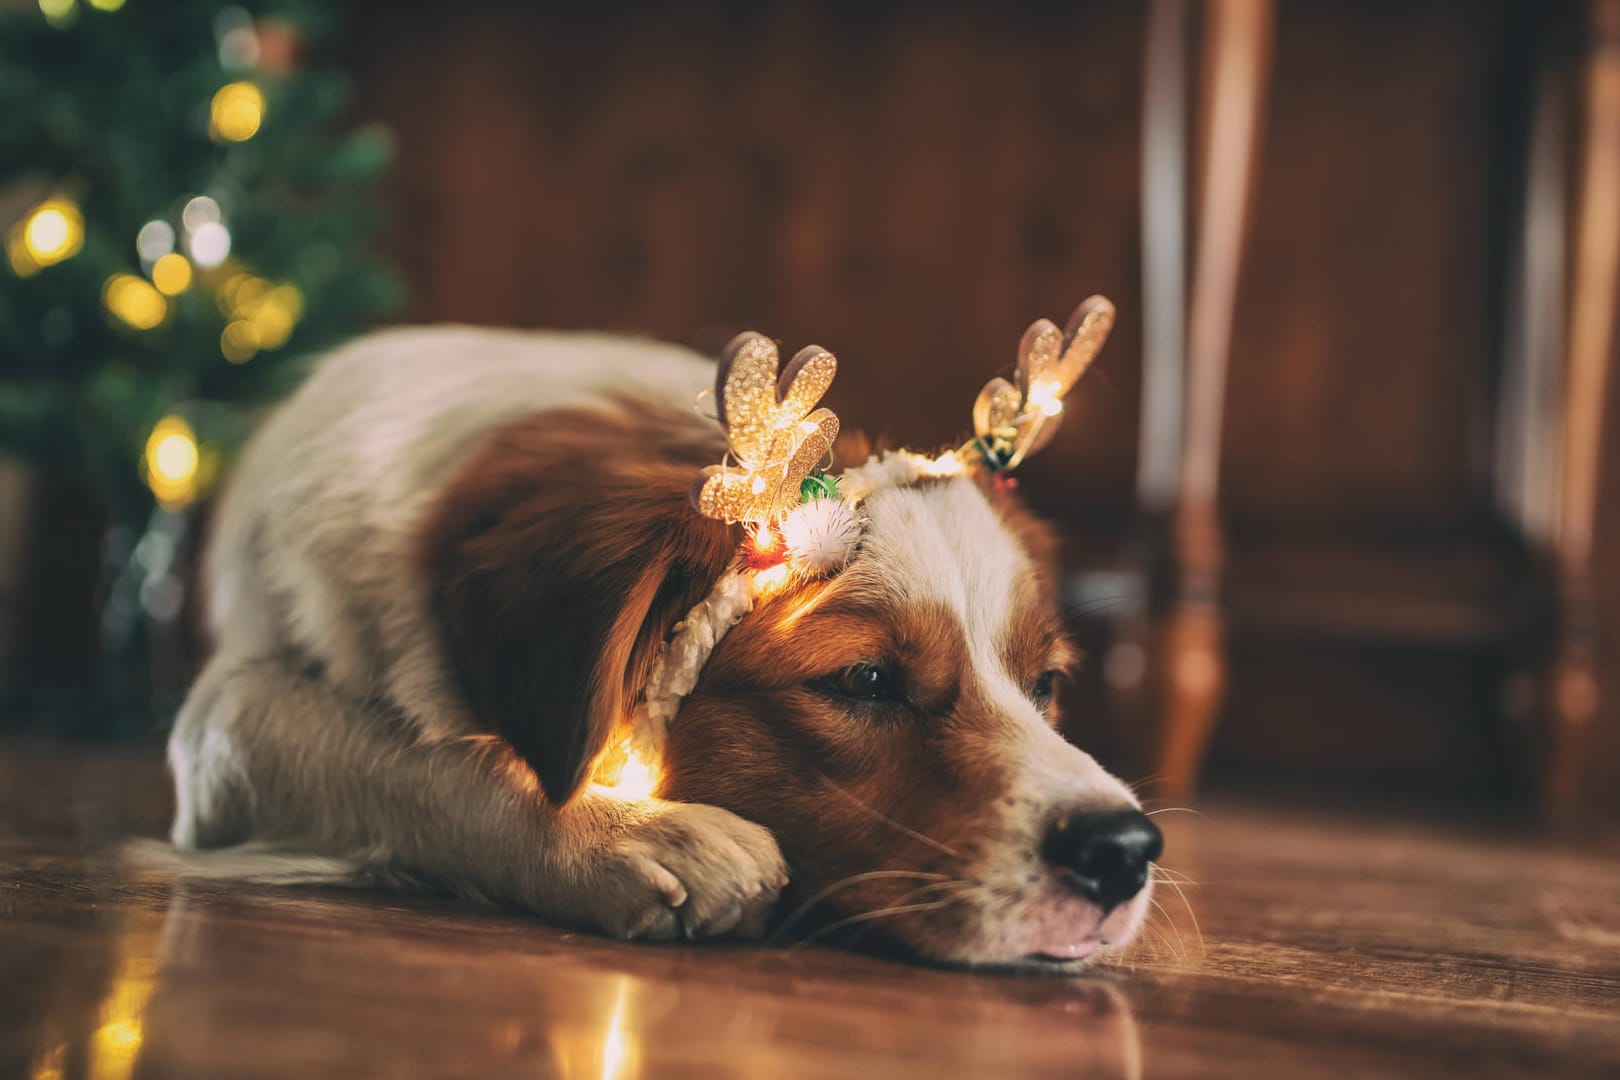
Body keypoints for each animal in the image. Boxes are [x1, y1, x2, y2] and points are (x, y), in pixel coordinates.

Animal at [170, 320, 1159, 971]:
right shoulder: (221, 726)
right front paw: (632, 835)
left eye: (1046, 683)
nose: (1125, 849)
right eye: (866, 679)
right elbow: (426, 757)